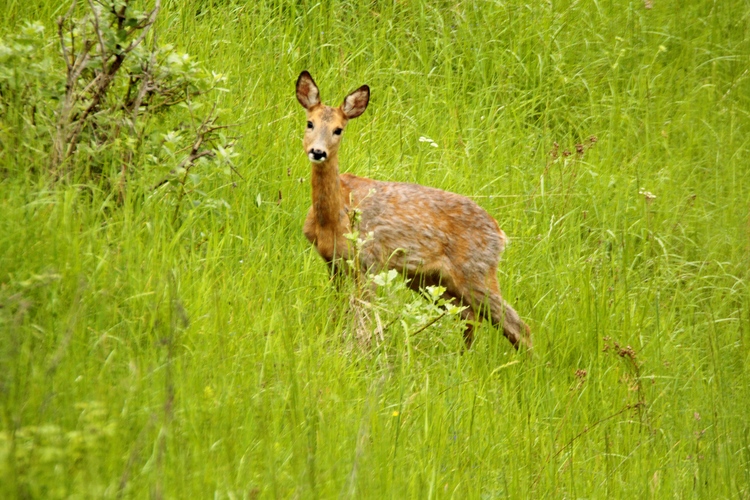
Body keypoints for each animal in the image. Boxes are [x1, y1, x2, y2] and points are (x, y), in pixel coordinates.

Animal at [296, 71, 532, 352]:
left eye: (338, 130)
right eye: (310, 123)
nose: (318, 151)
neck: (333, 216)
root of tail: (500, 234)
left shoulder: (369, 260)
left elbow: (363, 314)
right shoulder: (332, 262)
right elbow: (340, 308)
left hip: (476, 270)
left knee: (517, 326)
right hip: (430, 279)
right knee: (469, 317)